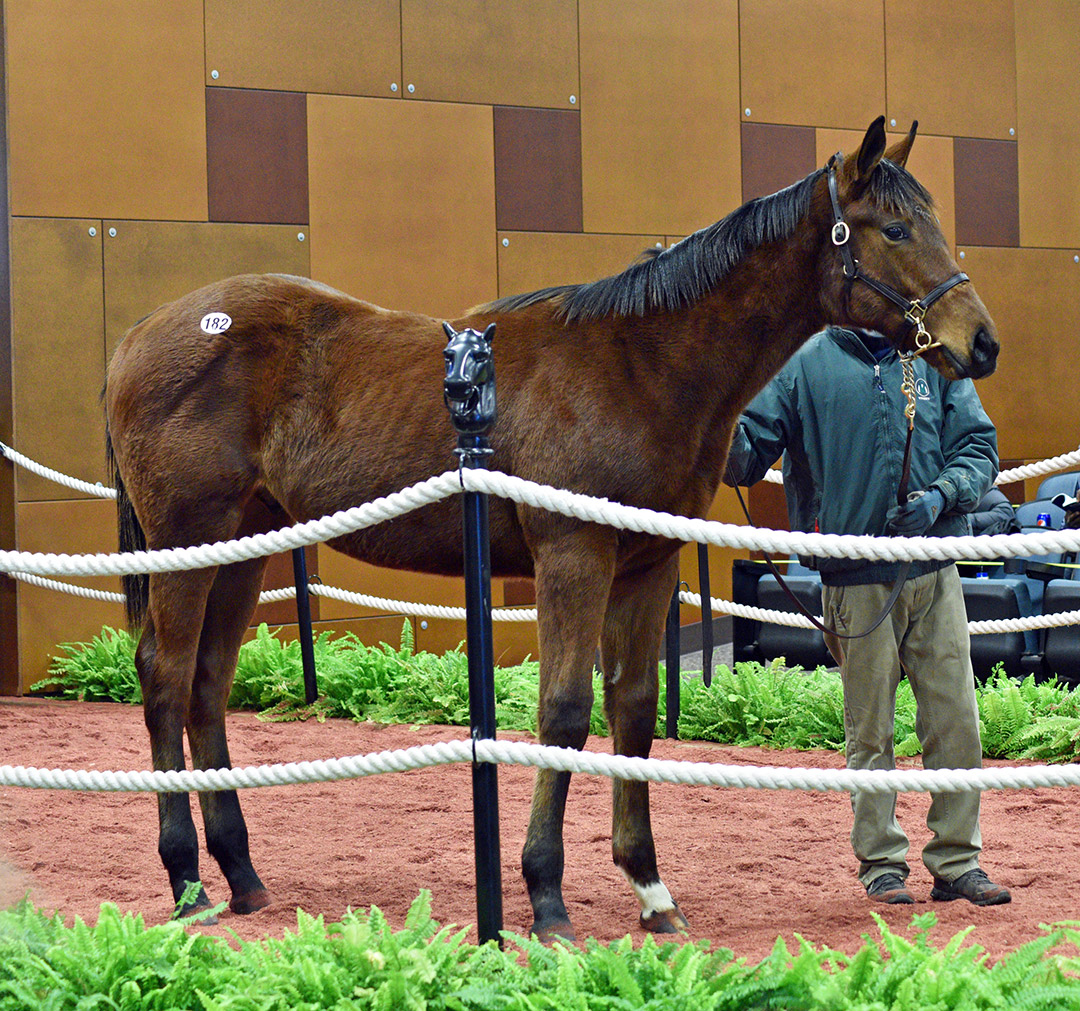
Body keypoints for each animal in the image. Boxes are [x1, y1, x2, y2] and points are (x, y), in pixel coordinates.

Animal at [104, 116, 998, 941]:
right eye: (894, 229)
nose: (980, 341)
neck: (641, 364)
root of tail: (139, 335)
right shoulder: (575, 553)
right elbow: (565, 711)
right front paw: (544, 898)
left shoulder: (647, 565)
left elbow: (633, 709)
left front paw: (651, 891)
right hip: (187, 541)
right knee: (166, 676)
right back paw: (186, 881)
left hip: (242, 549)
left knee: (208, 684)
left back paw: (242, 874)